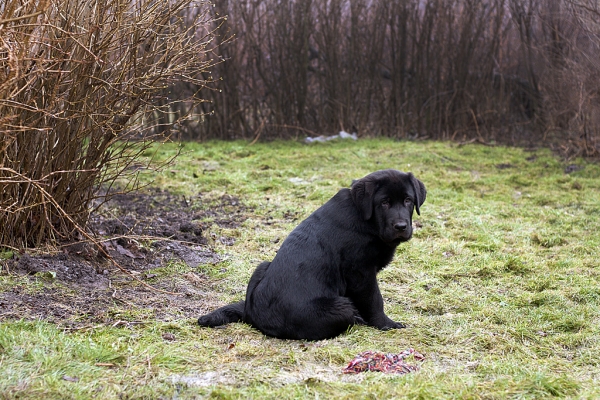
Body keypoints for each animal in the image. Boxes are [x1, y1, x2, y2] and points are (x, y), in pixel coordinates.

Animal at [199, 169, 424, 340]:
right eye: (384, 203)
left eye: (408, 200)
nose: (401, 226)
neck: (365, 219)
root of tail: (251, 316)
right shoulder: (360, 273)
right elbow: (374, 301)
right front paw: (386, 324)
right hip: (341, 306)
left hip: (262, 266)